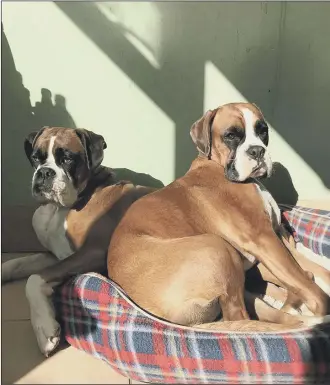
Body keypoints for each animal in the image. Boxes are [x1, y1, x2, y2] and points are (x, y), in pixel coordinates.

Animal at [1, 127, 156, 356]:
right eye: (36, 158)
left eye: (67, 159)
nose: (44, 172)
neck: (58, 209)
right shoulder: (55, 255)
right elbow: (16, 263)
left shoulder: (93, 252)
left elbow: (34, 279)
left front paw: (44, 329)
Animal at [107, 102, 330, 330]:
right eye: (231, 135)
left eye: (263, 131)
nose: (257, 150)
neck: (216, 164)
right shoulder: (263, 238)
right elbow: (311, 289)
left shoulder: (275, 237)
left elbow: (313, 270)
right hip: (219, 248)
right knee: (241, 317)